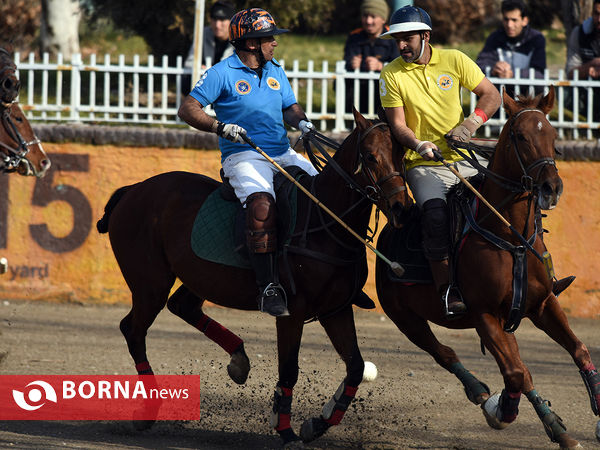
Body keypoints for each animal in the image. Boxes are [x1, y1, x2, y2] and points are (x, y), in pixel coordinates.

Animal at [97, 110, 412, 446]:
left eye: (402, 155)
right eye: (370, 156)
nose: (401, 209)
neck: (326, 224)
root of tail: (133, 189)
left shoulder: (335, 309)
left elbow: (355, 367)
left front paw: (316, 424)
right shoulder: (293, 312)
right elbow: (289, 370)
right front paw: (286, 431)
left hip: (204, 275)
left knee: (182, 306)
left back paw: (239, 361)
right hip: (150, 283)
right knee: (133, 329)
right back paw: (148, 412)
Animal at [376, 86, 596, 448]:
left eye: (552, 135)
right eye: (520, 136)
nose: (551, 188)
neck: (508, 232)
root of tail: (389, 230)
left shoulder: (542, 303)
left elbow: (577, 350)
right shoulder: (484, 315)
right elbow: (517, 373)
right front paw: (503, 410)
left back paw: (554, 426)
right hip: (404, 317)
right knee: (446, 353)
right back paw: (482, 392)